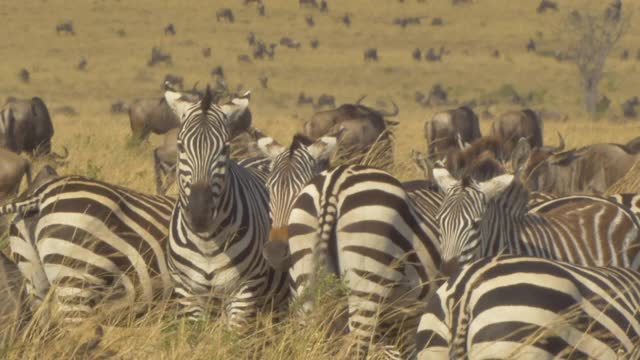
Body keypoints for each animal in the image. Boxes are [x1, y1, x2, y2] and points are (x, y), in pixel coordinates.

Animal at [162, 86, 288, 326]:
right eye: (180, 146)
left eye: (225, 148)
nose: (199, 215)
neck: (207, 243)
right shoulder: (187, 292)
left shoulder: (245, 290)